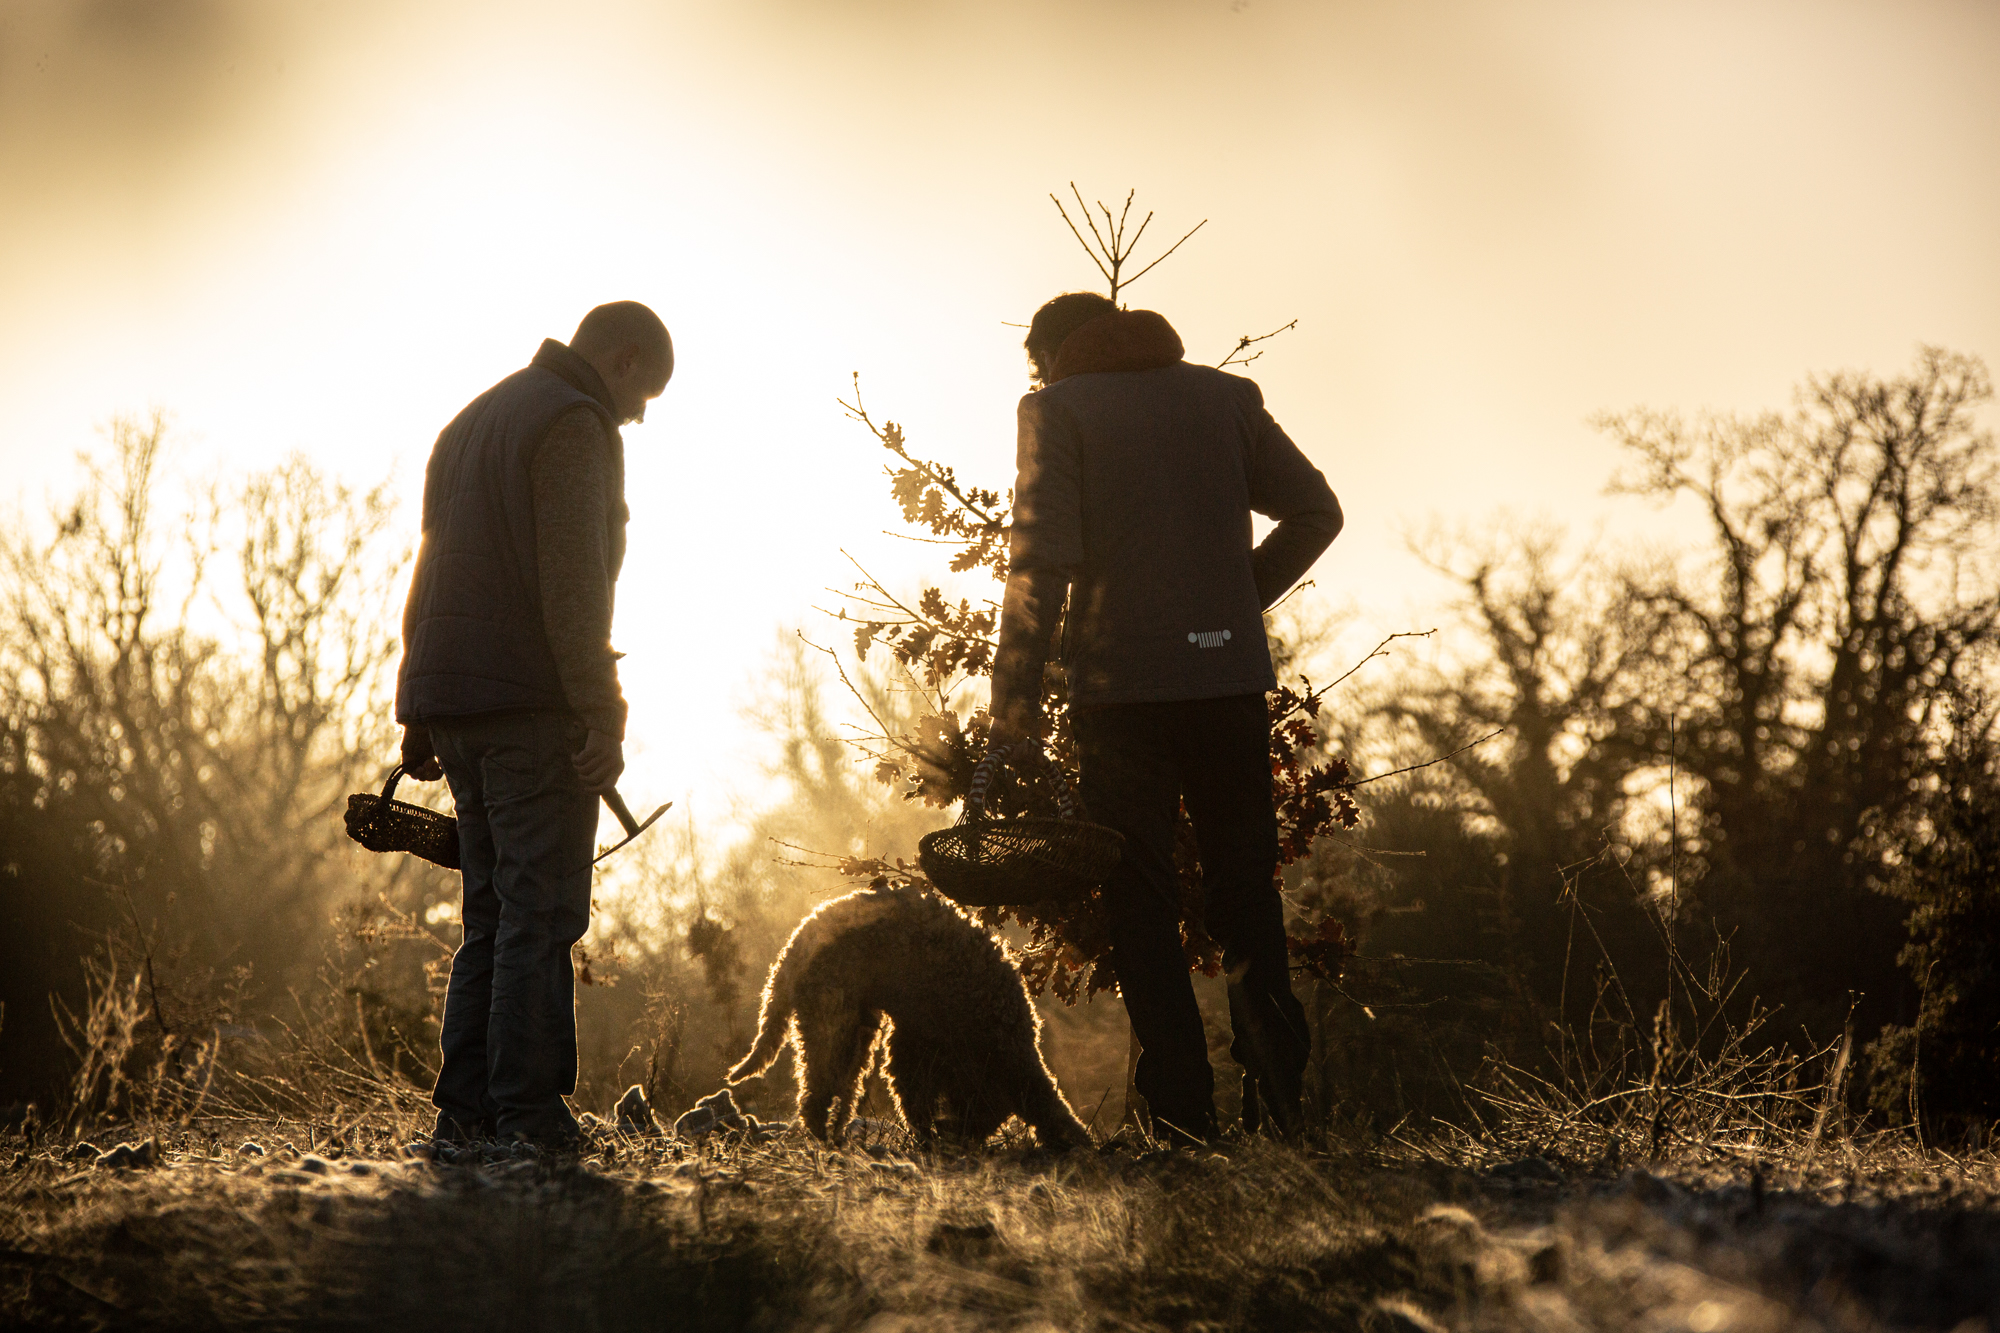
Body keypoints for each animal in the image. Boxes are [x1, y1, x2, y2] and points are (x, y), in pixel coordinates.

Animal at [728, 880, 1096, 1144]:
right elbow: (914, 1097)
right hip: (832, 1021)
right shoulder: (918, 1042)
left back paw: (836, 1137)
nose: (960, 1139)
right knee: (816, 1092)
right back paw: (822, 1138)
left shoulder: (918, 1041)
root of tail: (795, 943)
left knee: (840, 1092)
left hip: (858, 1030)